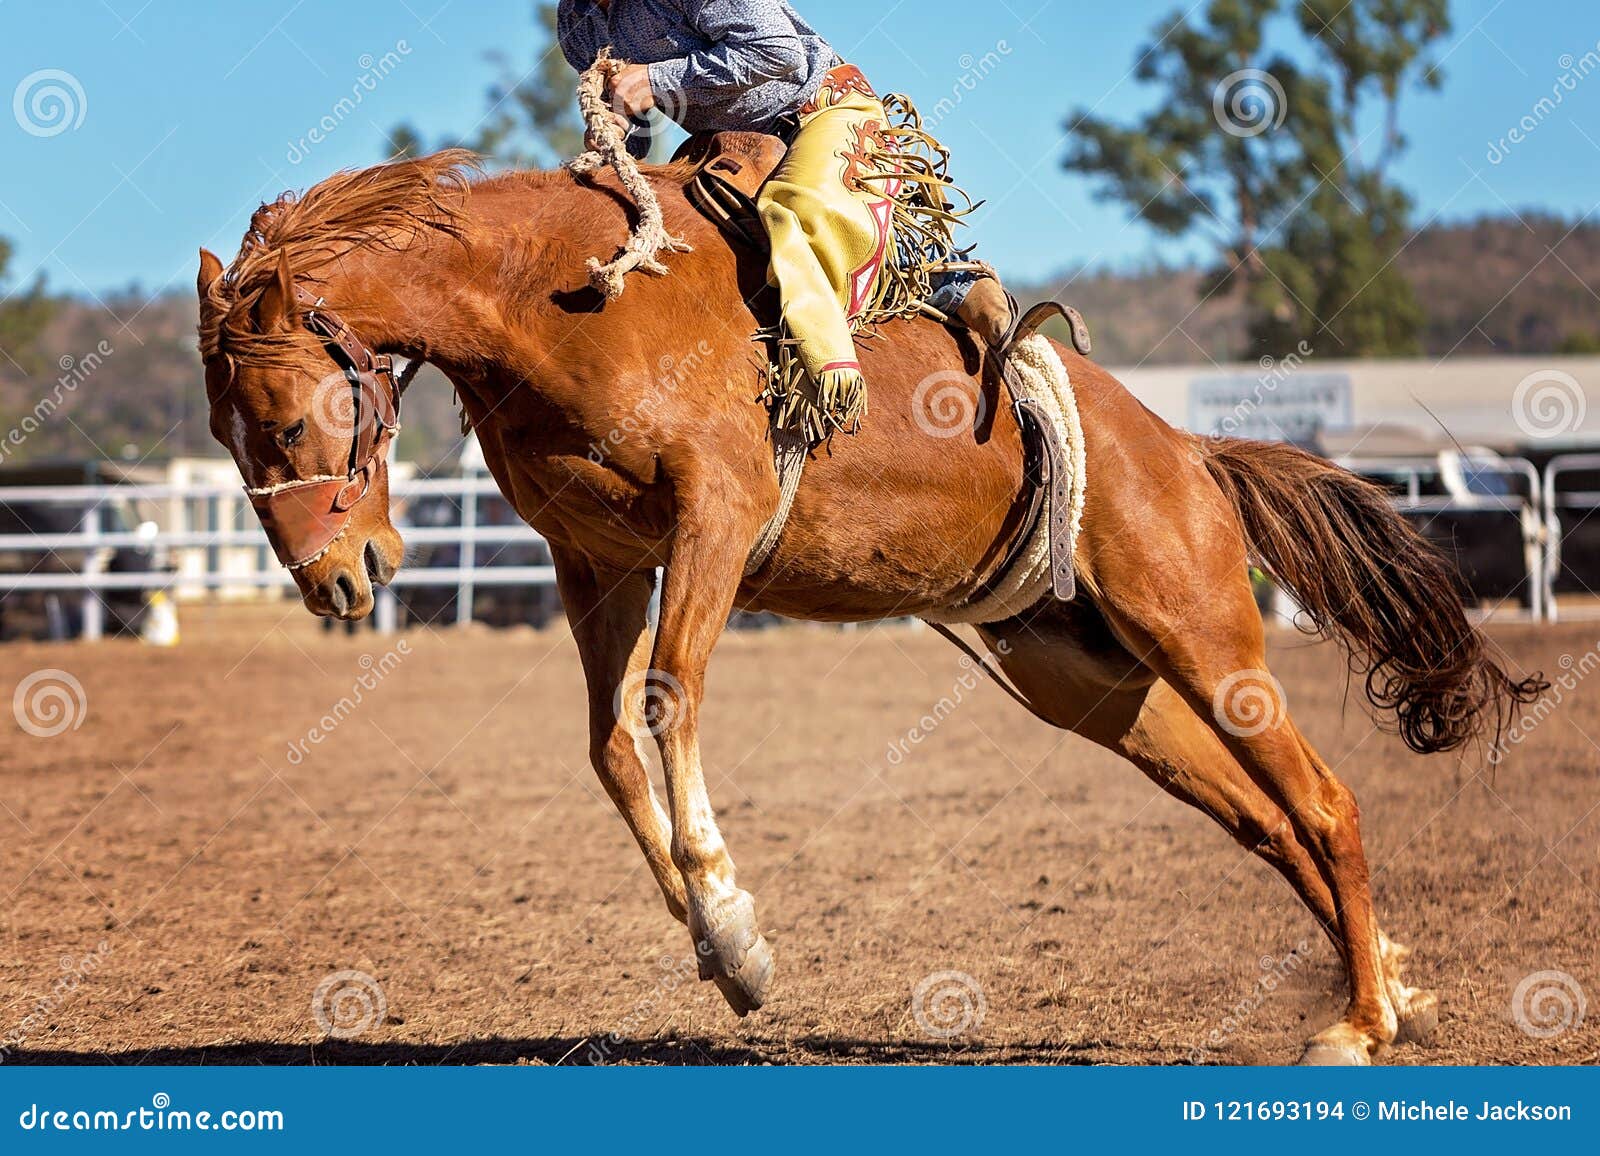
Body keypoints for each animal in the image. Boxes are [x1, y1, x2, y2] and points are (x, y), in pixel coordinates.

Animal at [196, 146, 1536, 1063]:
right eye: (221, 434)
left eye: (281, 422)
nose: (337, 580)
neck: (556, 296)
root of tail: (1190, 454)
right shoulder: (595, 562)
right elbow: (609, 744)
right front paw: (712, 942)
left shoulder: (714, 519)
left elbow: (670, 699)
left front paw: (732, 926)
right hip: (1093, 683)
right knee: (1267, 822)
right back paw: (1392, 986)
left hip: (1201, 631)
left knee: (1325, 803)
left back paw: (1360, 1022)